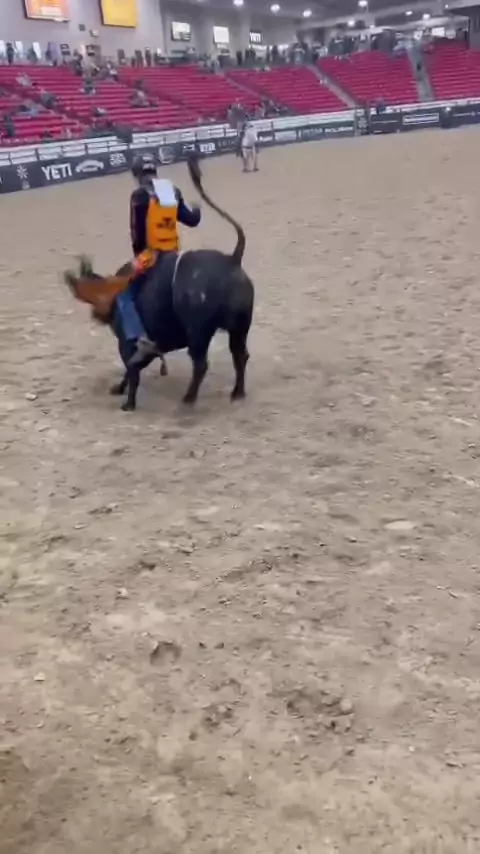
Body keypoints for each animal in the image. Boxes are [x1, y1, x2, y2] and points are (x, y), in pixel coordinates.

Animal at [64, 156, 254, 412]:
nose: (95, 315)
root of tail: (232, 260)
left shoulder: (127, 342)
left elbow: (131, 368)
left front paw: (128, 402)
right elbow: (134, 368)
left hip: (198, 331)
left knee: (201, 363)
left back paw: (188, 399)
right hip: (240, 326)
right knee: (240, 355)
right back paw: (237, 392)